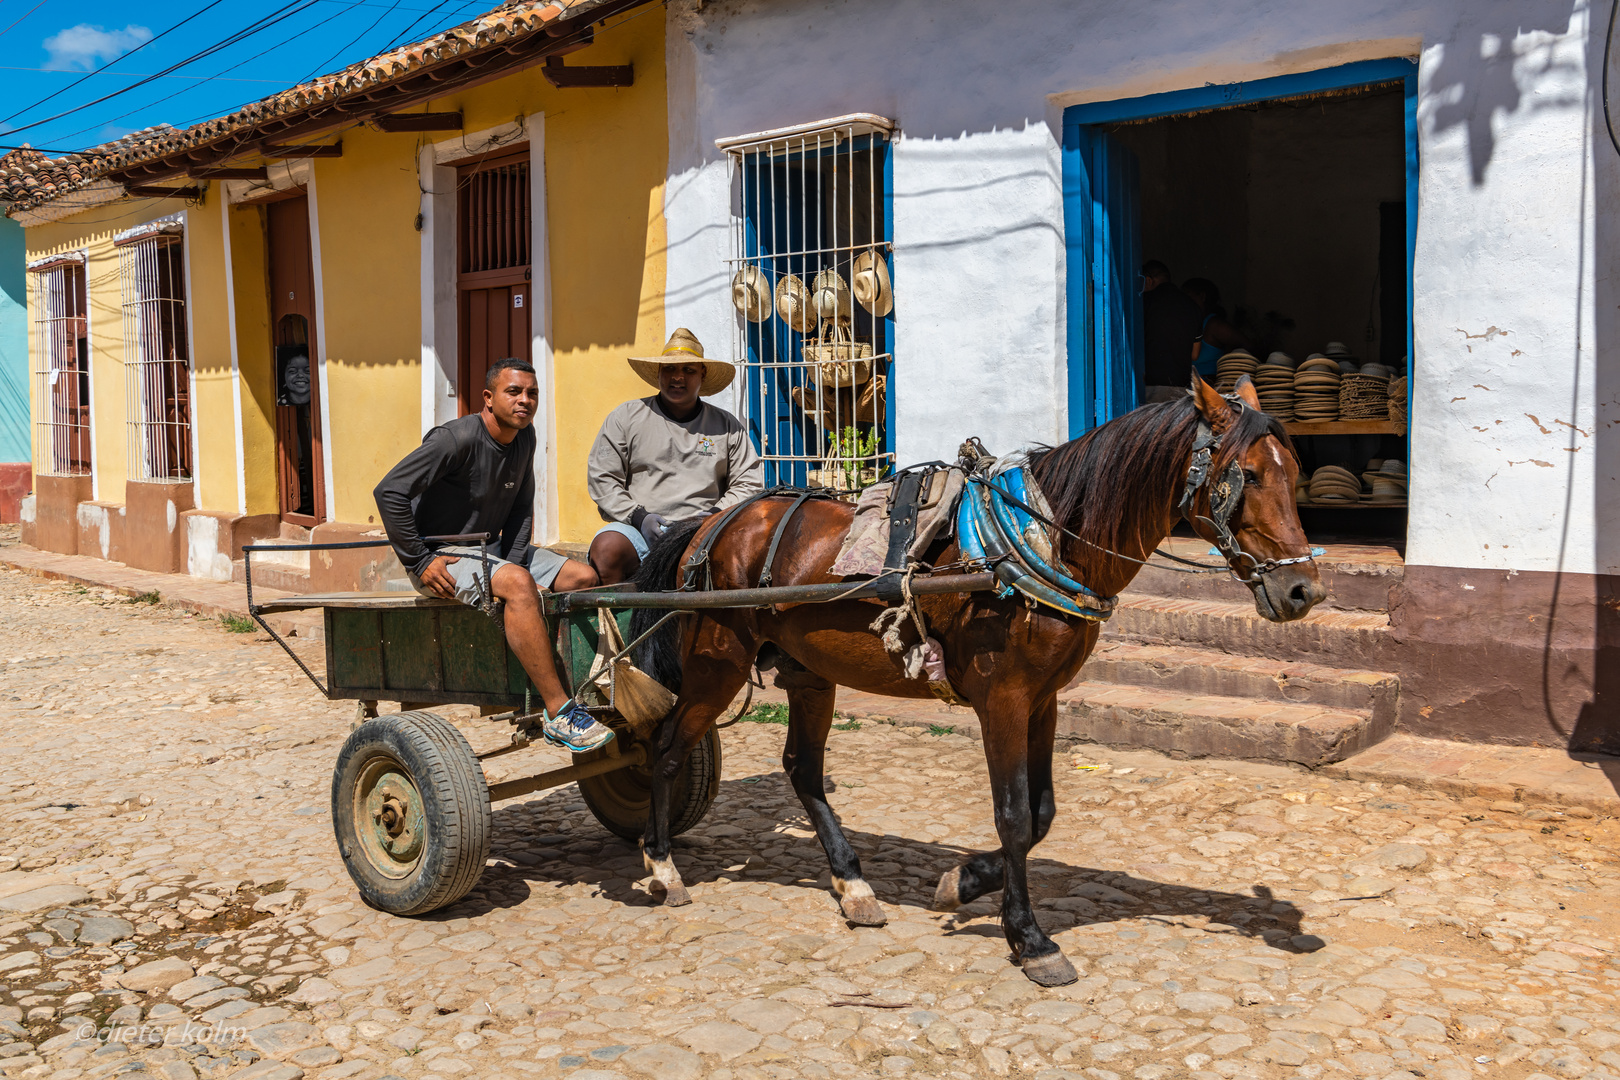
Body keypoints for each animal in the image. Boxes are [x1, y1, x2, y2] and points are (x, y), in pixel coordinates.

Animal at [625, 374, 1321, 990]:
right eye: (1247, 475)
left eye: (1293, 472)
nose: (1302, 590)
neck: (1043, 543)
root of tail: (715, 523)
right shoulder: (1003, 699)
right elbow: (1013, 815)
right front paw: (1030, 939)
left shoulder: (1044, 700)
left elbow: (1041, 814)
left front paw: (963, 882)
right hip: (716, 664)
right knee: (666, 748)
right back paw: (663, 867)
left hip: (808, 673)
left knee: (801, 768)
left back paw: (853, 885)